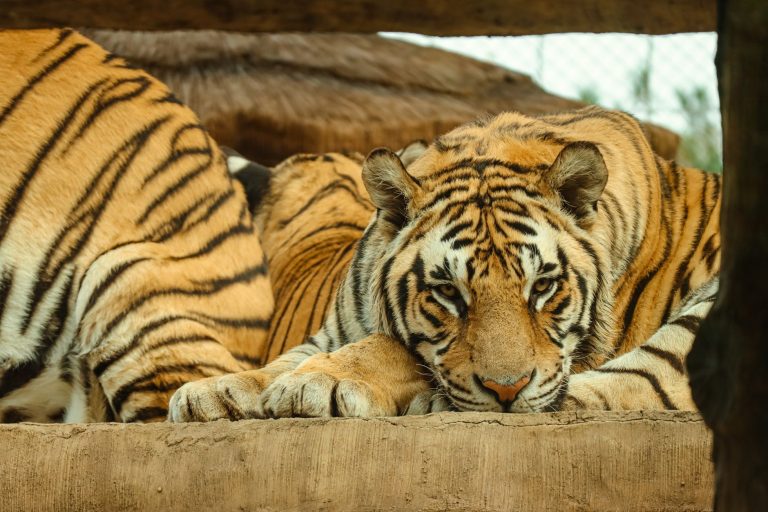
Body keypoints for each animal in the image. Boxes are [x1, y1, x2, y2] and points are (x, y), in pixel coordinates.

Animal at [170, 105, 721, 421]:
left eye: (542, 286)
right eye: (449, 293)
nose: (507, 391)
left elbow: (390, 348)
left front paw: (314, 383)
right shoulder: (331, 331)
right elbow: (280, 361)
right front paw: (212, 393)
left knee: (632, 386)